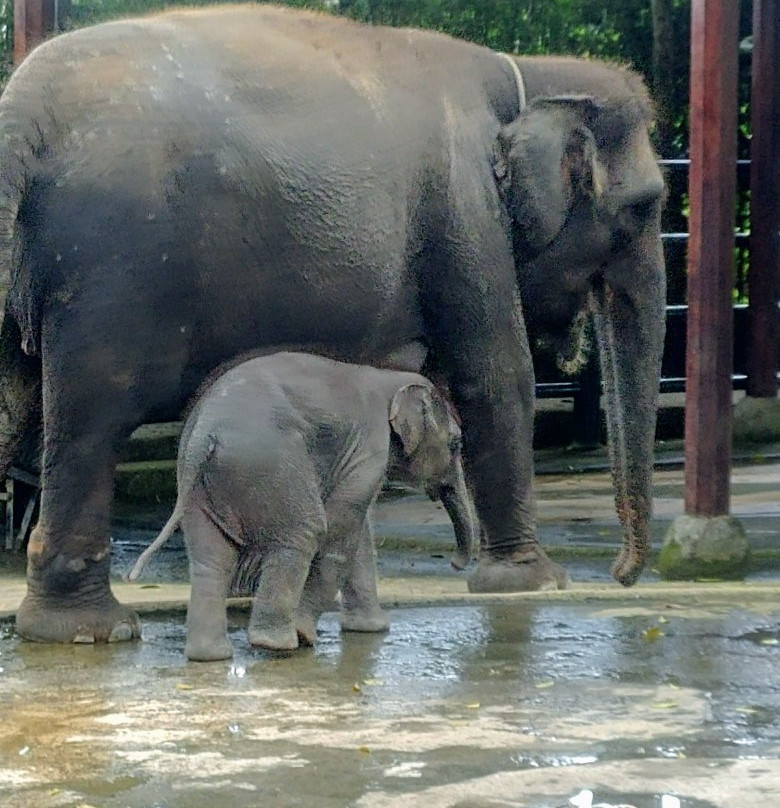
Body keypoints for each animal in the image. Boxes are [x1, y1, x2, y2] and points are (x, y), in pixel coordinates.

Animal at [128, 350, 476, 660]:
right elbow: (340, 535)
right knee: (305, 533)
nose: (455, 565)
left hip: (201, 486)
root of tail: (206, 435)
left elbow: (359, 535)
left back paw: (211, 656)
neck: (390, 378)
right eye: (456, 443)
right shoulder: (369, 447)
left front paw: (371, 629)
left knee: (211, 560)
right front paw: (307, 634)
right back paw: (277, 644)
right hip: (271, 465)